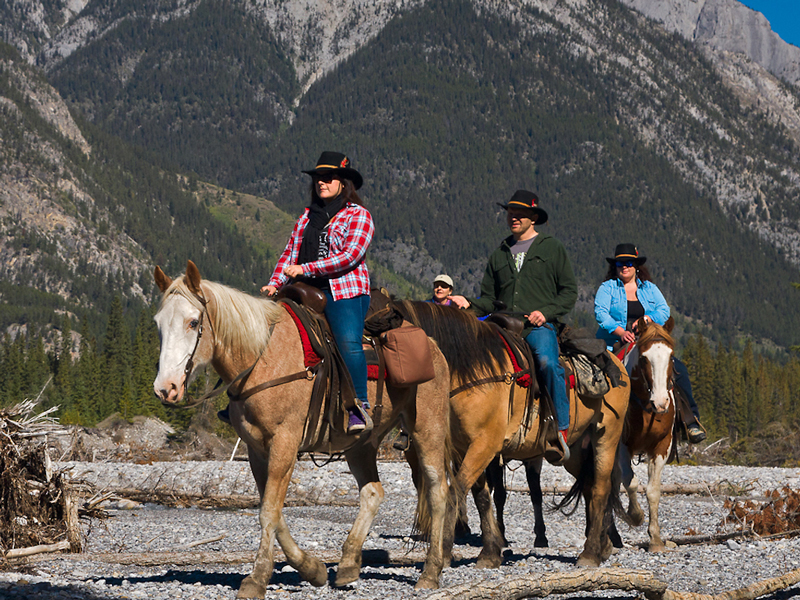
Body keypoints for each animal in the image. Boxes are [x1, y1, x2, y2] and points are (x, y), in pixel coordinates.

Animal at [148, 262, 450, 596]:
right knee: (373, 492)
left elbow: (269, 511)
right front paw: (312, 569)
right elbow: (273, 510)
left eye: (193, 322)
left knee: (437, 490)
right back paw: (347, 565)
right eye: (159, 324)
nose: (165, 389)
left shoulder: (285, 443)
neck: (262, 358)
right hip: (362, 444)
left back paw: (431, 572)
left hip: (428, 428)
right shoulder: (257, 450)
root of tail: (434, 346)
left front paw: (257, 578)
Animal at [396, 302, 632, 568]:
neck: (474, 370)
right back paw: (603, 545)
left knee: (601, 488)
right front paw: (490, 552)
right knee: (590, 486)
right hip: (576, 448)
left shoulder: (484, 445)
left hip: (606, 435)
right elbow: (481, 496)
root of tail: (616, 362)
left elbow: (457, 491)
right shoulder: (466, 447)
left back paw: (590, 553)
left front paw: (444, 551)